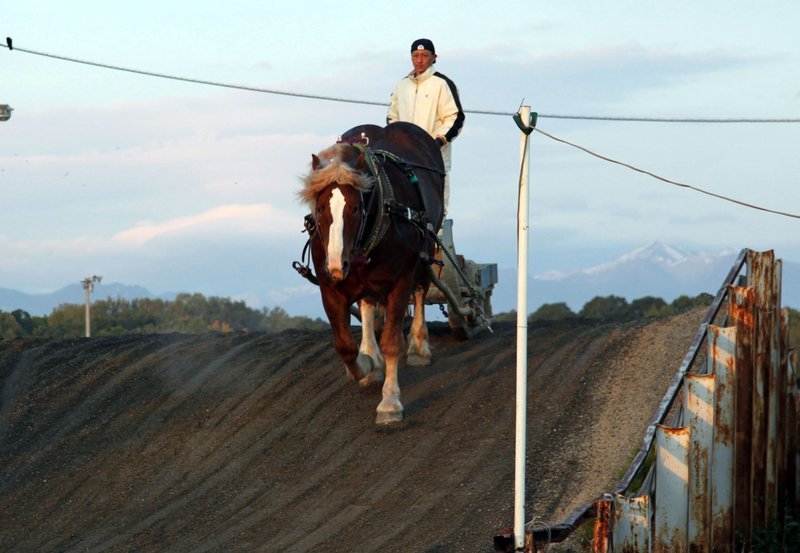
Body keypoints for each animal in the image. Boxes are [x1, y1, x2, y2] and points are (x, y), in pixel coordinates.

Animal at [298, 122, 445, 424]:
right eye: (320, 207)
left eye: (355, 207)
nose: (336, 264)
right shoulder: (330, 288)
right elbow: (345, 346)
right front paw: (366, 363)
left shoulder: (401, 280)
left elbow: (391, 341)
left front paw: (389, 402)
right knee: (366, 304)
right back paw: (370, 353)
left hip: (426, 249)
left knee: (421, 290)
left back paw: (419, 346)